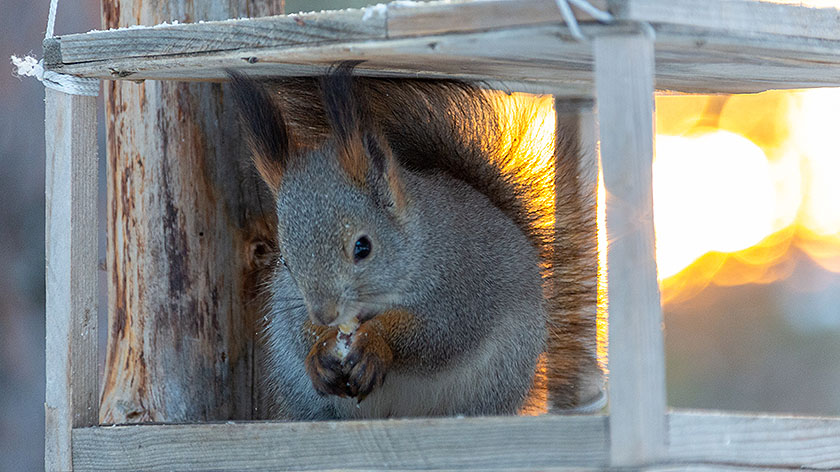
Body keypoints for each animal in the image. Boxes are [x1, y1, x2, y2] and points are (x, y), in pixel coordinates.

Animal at [226, 63, 600, 420]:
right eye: (285, 261)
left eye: (363, 247)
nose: (325, 315)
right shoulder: (288, 306)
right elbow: (297, 331)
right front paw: (319, 351)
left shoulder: (463, 290)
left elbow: (436, 334)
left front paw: (375, 341)